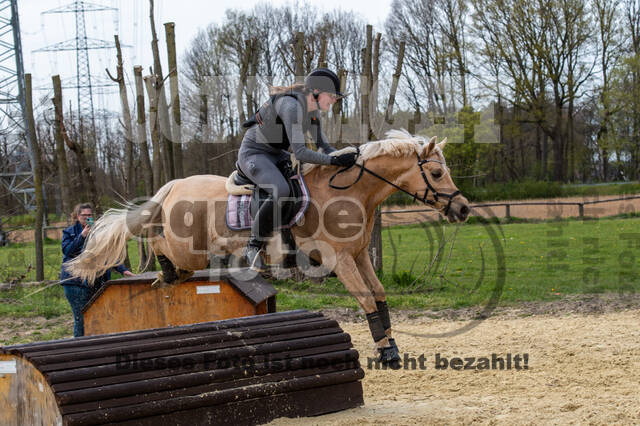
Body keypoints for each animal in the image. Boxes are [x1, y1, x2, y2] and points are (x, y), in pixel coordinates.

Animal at [66, 130, 470, 362]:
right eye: (436, 173)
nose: (464, 209)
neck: (351, 193)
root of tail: (174, 185)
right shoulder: (339, 260)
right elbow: (368, 300)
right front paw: (386, 352)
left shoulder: (358, 256)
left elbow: (380, 296)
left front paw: (389, 344)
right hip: (188, 246)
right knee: (154, 238)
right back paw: (165, 272)